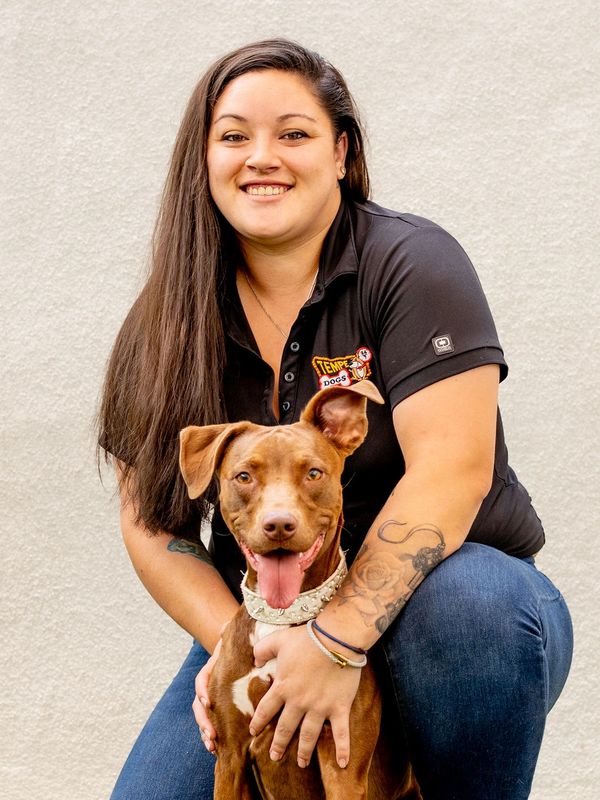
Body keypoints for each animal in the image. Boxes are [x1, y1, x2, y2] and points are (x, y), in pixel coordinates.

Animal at [180, 382, 420, 800]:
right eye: (244, 476)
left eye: (313, 472)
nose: (279, 524)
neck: (280, 617)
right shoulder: (229, 758)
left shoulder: (342, 762)